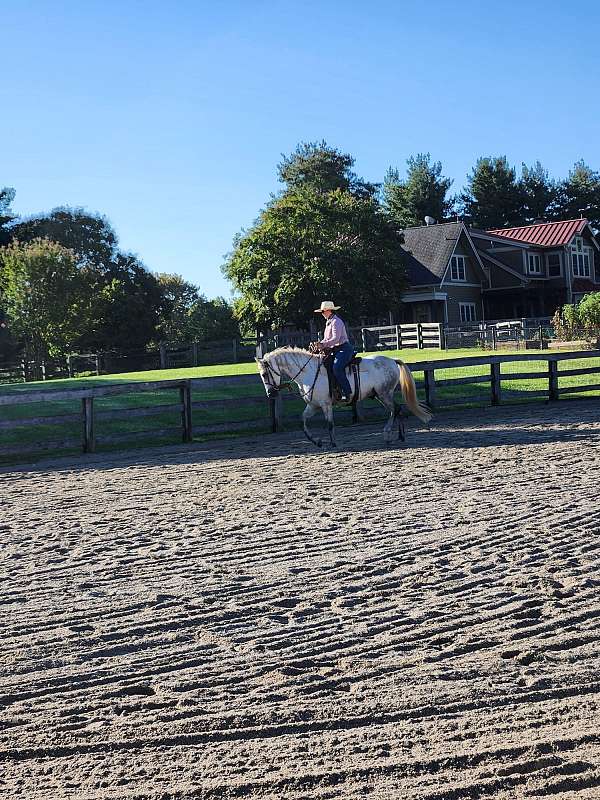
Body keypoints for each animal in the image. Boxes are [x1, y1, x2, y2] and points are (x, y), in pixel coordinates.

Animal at [255, 348, 434, 450]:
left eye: (264, 374)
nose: (271, 394)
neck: (309, 372)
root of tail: (392, 360)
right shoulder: (313, 406)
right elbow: (303, 422)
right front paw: (317, 442)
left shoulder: (326, 405)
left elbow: (329, 424)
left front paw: (333, 443)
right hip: (381, 395)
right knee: (398, 410)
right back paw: (400, 436)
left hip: (384, 394)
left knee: (395, 410)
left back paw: (387, 434)